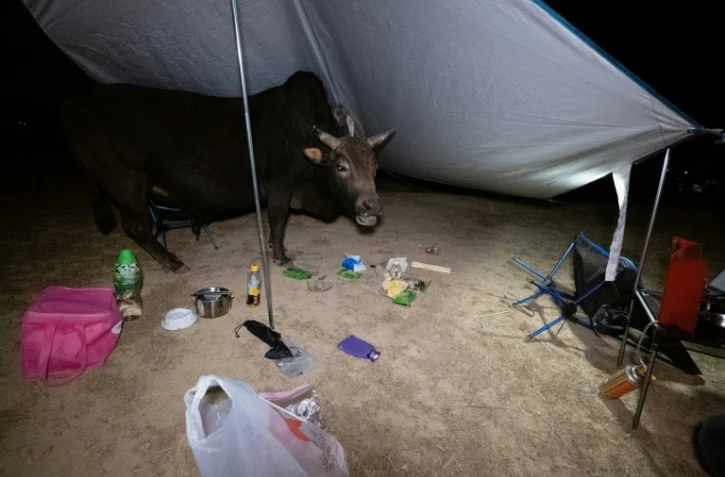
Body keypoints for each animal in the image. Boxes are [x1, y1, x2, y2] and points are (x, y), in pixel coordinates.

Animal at [58, 71, 395, 272]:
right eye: (341, 166)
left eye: (375, 168)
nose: (373, 205)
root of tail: (74, 110)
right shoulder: (278, 186)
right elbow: (277, 222)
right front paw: (280, 255)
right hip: (126, 183)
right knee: (136, 227)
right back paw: (173, 262)